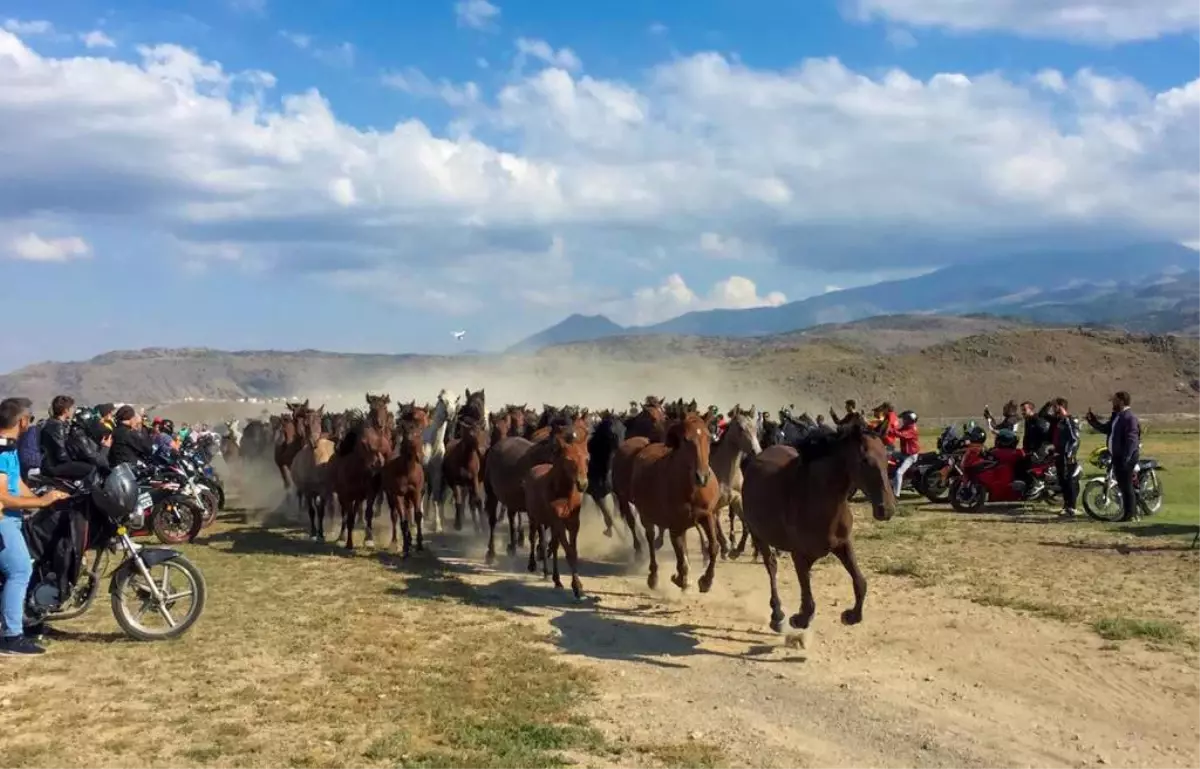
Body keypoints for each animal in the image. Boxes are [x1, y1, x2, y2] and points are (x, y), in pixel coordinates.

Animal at [384, 419, 427, 556]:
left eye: (419, 434)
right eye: (407, 437)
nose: (420, 456)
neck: (407, 472)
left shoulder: (416, 493)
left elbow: (418, 516)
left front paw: (419, 545)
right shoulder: (397, 495)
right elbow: (403, 520)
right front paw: (406, 549)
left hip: (408, 497)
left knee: (408, 511)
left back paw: (409, 538)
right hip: (391, 496)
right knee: (394, 515)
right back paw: (395, 542)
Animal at [422, 386, 458, 530]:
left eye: (456, 400)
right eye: (441, 399)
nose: (450, 414)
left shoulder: (436, 472)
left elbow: (436, 497)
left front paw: (437, 525)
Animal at [528, 429, 592, 597]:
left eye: (587, 458)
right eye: (569, 459)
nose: (583, 484)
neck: (564, 494)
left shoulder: (573, 523)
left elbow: (572, 551)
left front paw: (575, 585)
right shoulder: (557, 522)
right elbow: (568, 552)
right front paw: (578, 587)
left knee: (554, 546)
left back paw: (556, 580)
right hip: (534, 517)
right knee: (534, 538)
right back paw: (532, 565)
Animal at [614, 410, 715, 590]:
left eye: (708, 437)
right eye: (686, 440)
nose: (702, 477)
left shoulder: (706, 515)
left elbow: (713, 547)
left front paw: (706, 581)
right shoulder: (675, 525)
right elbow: (680, 555)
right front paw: (681, 578)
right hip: (637, 508)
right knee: (646, 534)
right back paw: (652, 574)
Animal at [744, 419, 897, 628]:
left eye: (886, 458)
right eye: (865, 460)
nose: (886, 509)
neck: (817, 497)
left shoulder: (842, 544)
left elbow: (860, 582)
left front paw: (851, 616)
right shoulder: (799, 555)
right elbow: (808, 600)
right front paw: (798, 619)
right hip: (758, 534)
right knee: (771, 566)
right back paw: (777, 614)